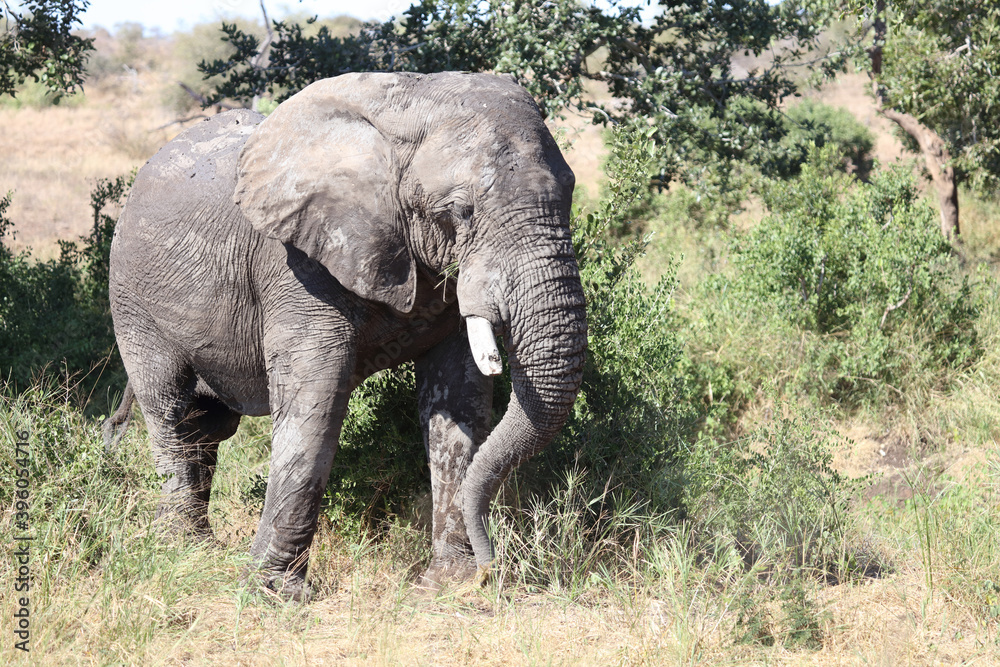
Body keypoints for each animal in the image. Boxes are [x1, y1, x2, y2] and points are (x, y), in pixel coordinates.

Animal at [105, 71, 587, 600]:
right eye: (461, 210)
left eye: (570, 192)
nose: (490, 568)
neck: (411, 103)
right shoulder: (295, 262)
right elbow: (315, 399)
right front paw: (275, 595)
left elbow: (457, 400)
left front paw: (448, 585)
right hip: (133, 300)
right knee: (170, 410)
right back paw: (185, 549)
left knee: (207, 425)